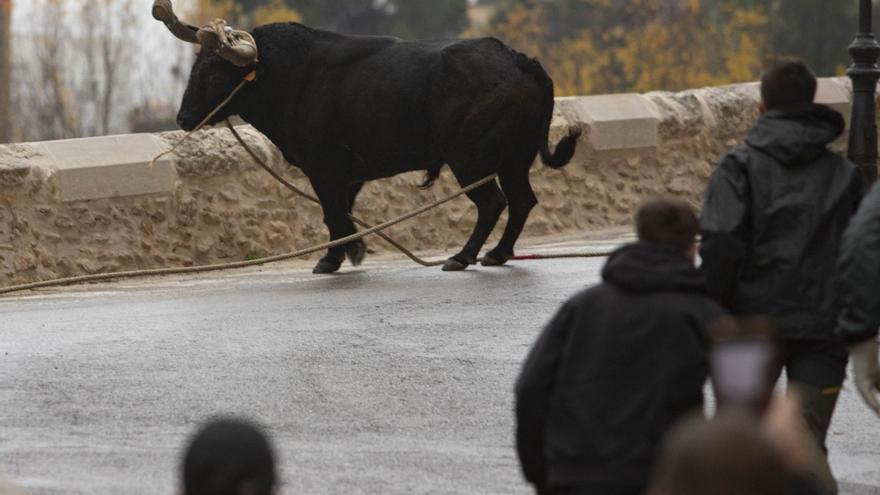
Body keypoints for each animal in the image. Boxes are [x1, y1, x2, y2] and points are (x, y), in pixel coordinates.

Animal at [175, 23, 580, 276]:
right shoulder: (348, 174)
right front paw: (352, 250)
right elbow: (343, 214)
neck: (288, 76)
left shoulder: (324, 170)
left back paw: (463, 257)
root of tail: (518, 60)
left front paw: (331, 259)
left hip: (471, 160)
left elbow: (332, 215)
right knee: (522, 201)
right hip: (515, 159)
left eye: (212, 73)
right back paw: (497, 253)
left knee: (493, 203)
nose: (183, 117)